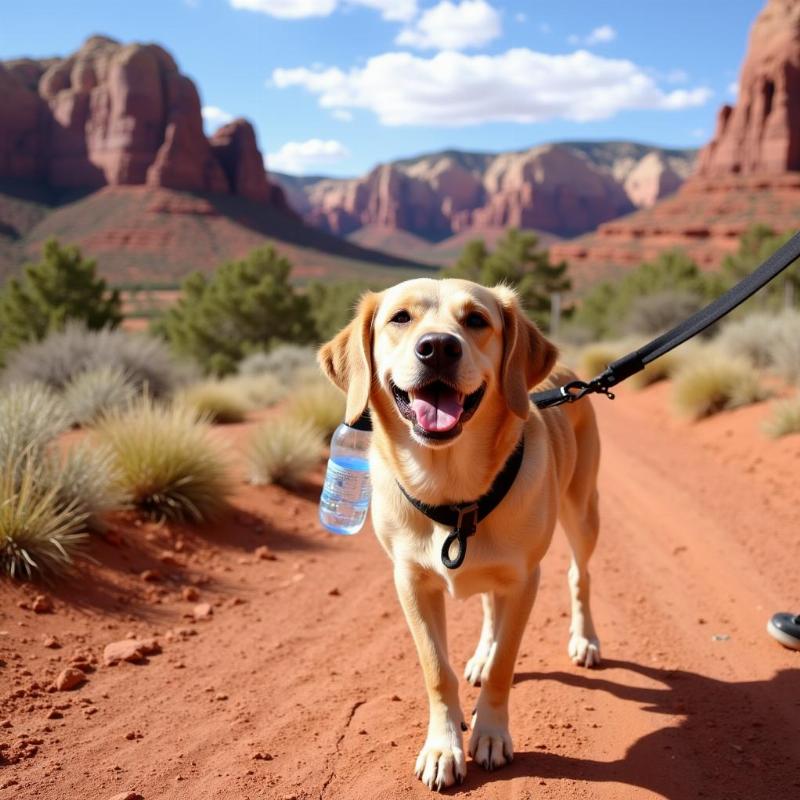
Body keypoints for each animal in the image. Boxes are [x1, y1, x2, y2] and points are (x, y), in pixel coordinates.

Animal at [318, 278, 600, 792]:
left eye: (476, 320)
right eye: (400, 318)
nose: (438, 348)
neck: (452, 491)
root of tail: (568, 374)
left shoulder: (525, 579)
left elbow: (506, 664)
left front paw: (490, 734)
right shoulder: (411, 582)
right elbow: (437, 670)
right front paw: (442, 747)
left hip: (583, 512)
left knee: (580, 577)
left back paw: (584, 640)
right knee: (490, 607)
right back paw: (481, 656)